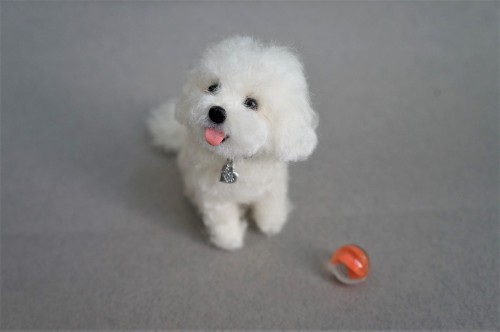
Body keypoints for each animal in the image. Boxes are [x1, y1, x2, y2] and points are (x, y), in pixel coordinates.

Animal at [148, 36, 318, 250]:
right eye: (213, 87)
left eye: (252, 103)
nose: (216, 112)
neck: (237, 158)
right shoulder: (214, 196)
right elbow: (223, 218)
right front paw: (229, 240)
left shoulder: (274, 185)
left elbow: (271, 204)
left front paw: (271, 222)